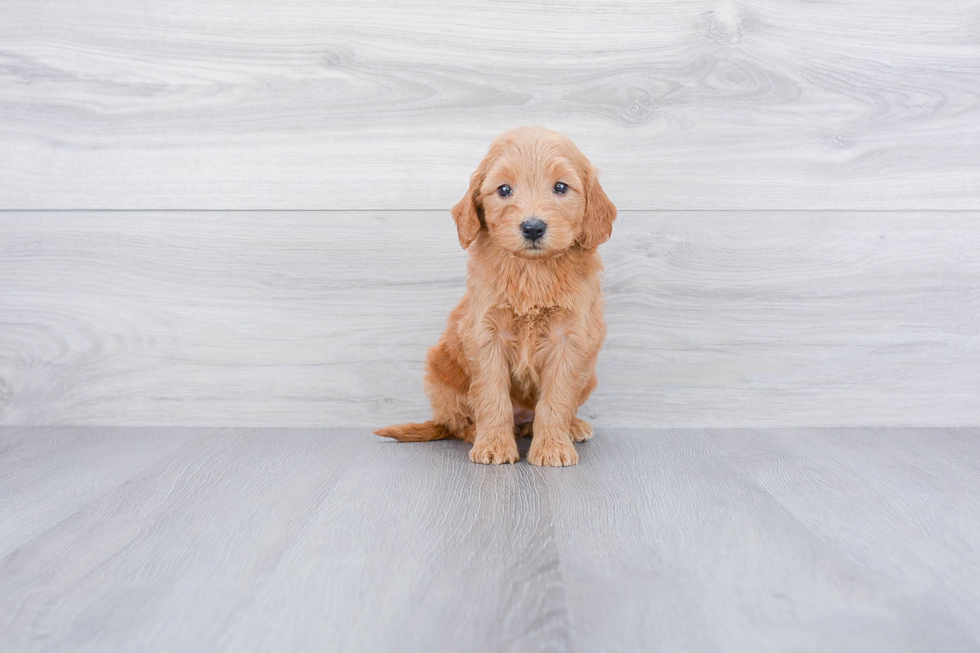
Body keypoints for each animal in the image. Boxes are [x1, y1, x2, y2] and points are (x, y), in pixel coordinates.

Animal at [378, 125, 616, 466]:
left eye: (560, 187)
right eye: (504, 190)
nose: (533, 227)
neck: (532, 270)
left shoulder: (569, 337)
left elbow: (557, 398)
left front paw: (553, 447)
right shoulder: (487, 334)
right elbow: (492, 396)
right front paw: (493, 445)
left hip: (589, 376)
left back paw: (571, 427)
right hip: (441, 372)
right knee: (456, 420)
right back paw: (478, 432)